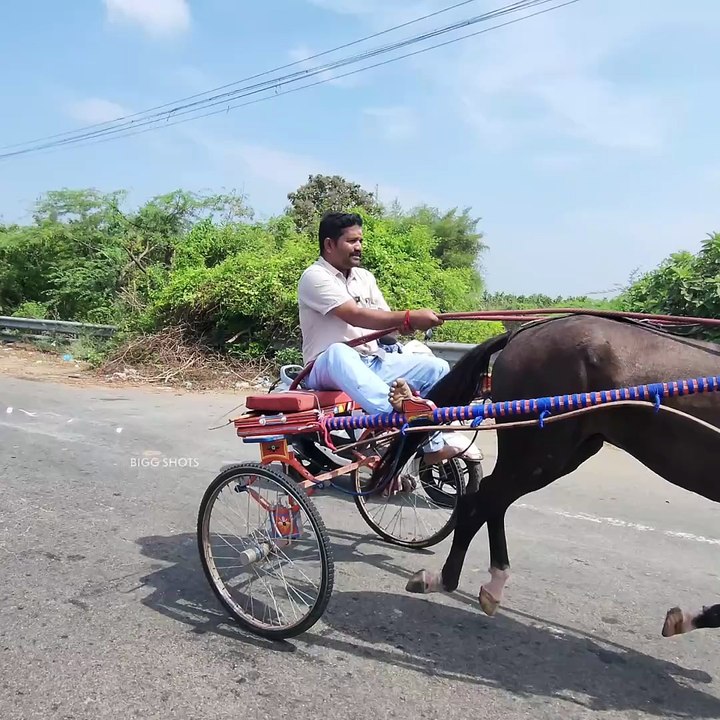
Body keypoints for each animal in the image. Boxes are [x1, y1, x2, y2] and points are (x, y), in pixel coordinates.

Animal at [369, 312, 720, 638]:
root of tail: (527, 330)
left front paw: (687, 619)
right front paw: (687, 619)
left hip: (555, 452)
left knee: (491, 501)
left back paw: (492, 583)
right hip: (540, 450)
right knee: (479, 501)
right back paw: (444, 578)